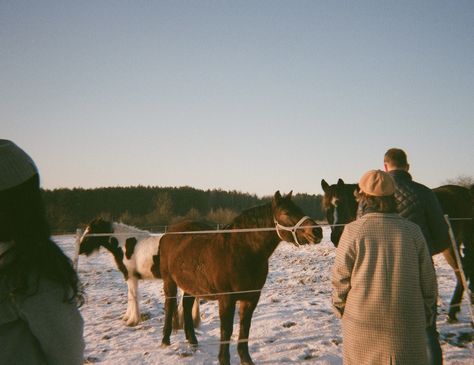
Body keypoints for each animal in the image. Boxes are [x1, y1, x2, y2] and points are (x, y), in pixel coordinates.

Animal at [156, 191, 322, 364]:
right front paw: (224, 360)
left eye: (300, 209)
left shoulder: (251, 298)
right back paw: (165, 340)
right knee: (169, 306)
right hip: (169, 282)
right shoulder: (226, 299)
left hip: (192, 285)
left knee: (187, 306)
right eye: (286, 212)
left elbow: (244, 328)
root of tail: (168, 233)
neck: (240, 251)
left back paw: (193, 341)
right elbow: (226, 330)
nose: (317, 232)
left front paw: (246, 359)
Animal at [320, 178, 472, 320]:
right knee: (460, 271)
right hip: (450, 247)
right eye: (326, 208)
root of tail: (466, 192)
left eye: (342, 204)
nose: (336, 237)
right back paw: (453, 312)